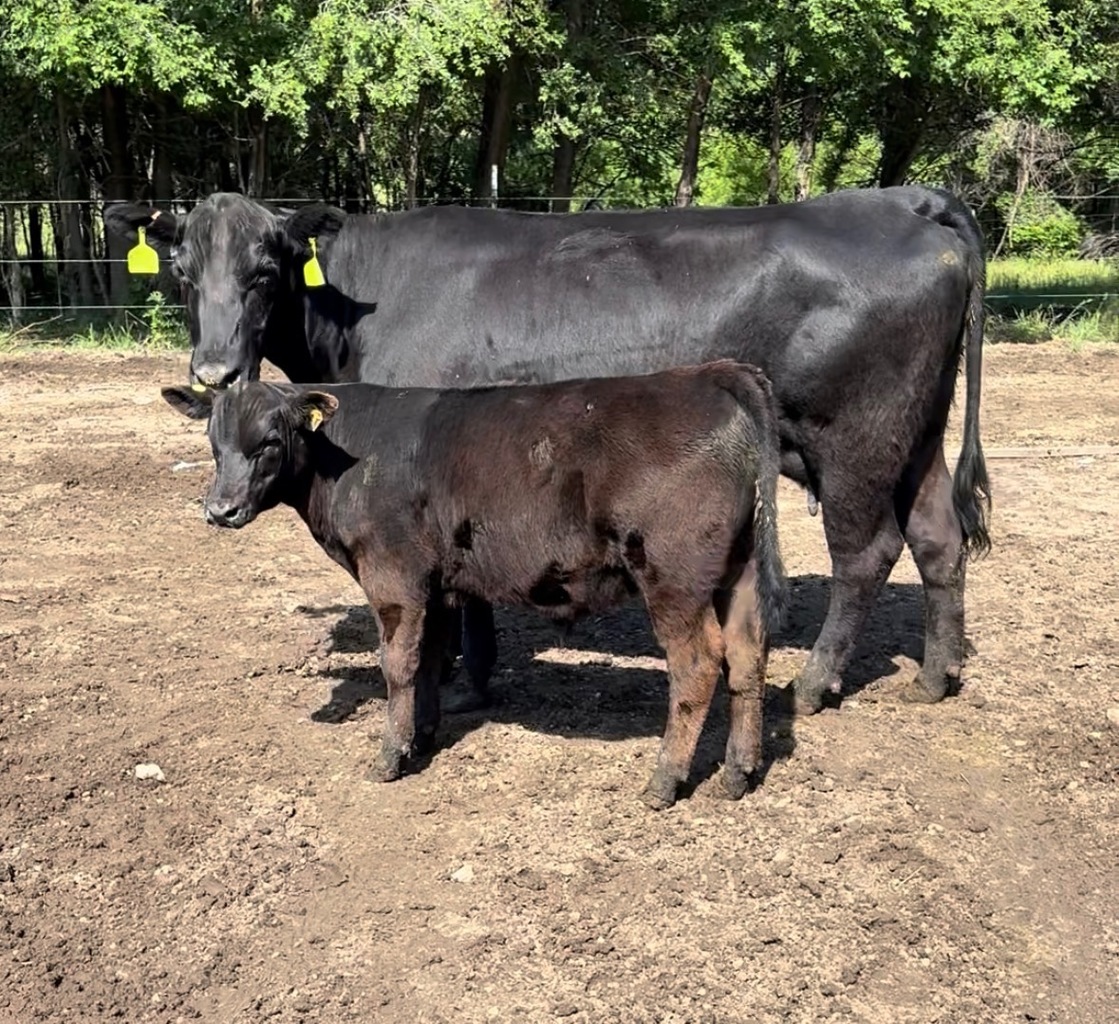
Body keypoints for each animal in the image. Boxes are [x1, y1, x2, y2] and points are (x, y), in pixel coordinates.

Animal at [107, 185, 991, 717]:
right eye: (181, 269)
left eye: (265, 268)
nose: (214, 371)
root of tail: (901, 200)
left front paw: (463, 682)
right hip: (916, 433)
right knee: (938, 538)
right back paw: (935, 675)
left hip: (853, 440)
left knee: (865, 552)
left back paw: (812, 685)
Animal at [160, 360, 787, 810]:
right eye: (214, 442)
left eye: (270, 440)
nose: (220, 509)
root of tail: (710, 374)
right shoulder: (434, 587)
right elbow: (430, 660)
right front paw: (422, 736)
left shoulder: (393, 579)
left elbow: (398, 665)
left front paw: (389, 757)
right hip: (738, 572)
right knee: (747, 654)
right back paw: (739, 772)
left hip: (672, 576)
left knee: (699, 663)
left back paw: (665, 781)